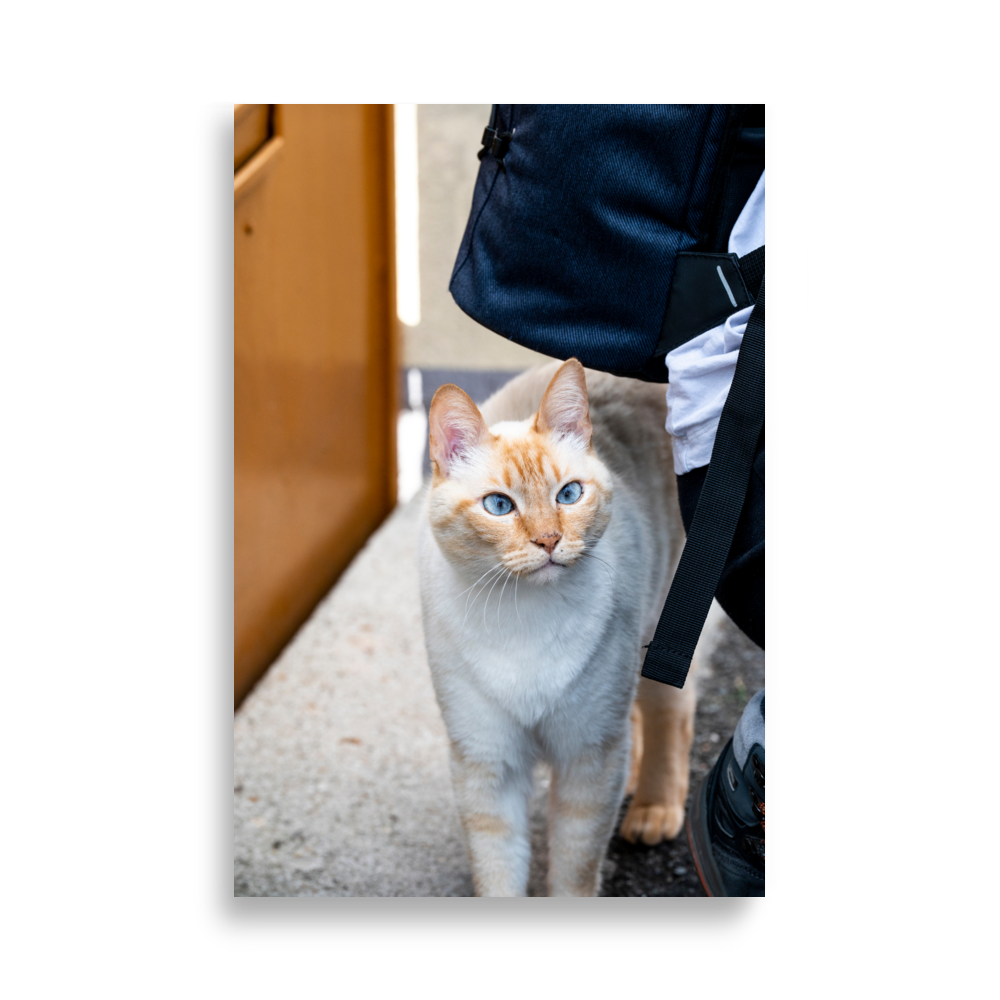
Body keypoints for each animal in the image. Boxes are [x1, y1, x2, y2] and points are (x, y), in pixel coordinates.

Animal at [418, 360, 716, 900]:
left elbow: (574, 870)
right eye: (499, 506)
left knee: (671, 711)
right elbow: (497, 872)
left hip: (660, 627)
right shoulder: (488, 763)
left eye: (569, 495)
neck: (524, 620)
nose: (549, 539)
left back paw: (654, 809)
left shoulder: (588, 755)